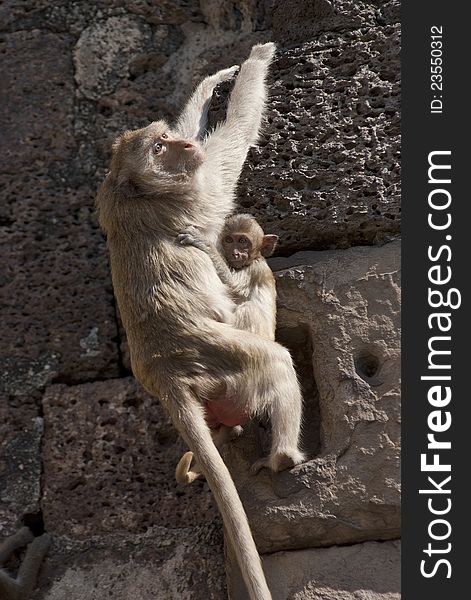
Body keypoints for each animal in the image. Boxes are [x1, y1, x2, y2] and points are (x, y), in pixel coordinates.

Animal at [177, 213, 280, 486]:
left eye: (243, 241)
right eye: (229, 239)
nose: (235, 251)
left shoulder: (253, 270)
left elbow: (233, 288)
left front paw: (204, 244)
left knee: (247, 308)